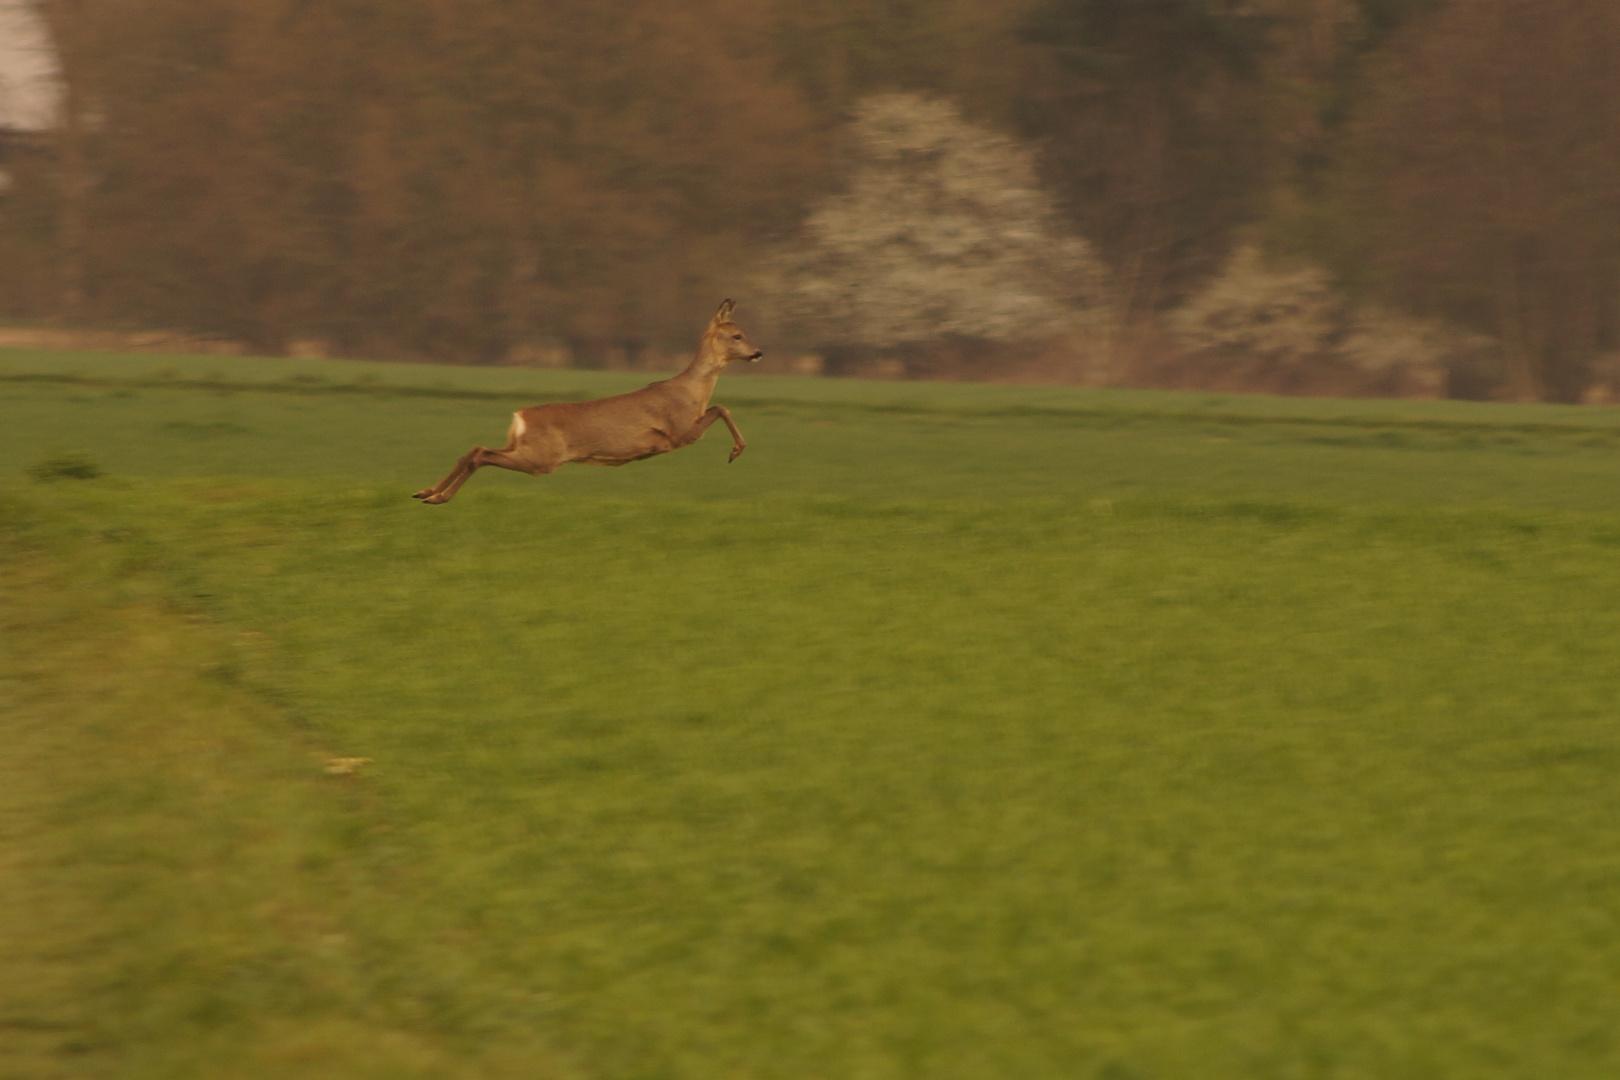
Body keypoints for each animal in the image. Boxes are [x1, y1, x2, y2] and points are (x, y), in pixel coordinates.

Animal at [411, 299, 764, 508]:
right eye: (737, 335)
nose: (758, 352)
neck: (691, 392)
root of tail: (520, 416)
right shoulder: (680, 432)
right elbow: (722, 408)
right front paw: (736, 451)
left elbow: (720, 407)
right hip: (542, 458)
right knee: (481, 454)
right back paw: (438, 497)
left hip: (525, 448)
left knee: (473, 449)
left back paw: (425, 492)